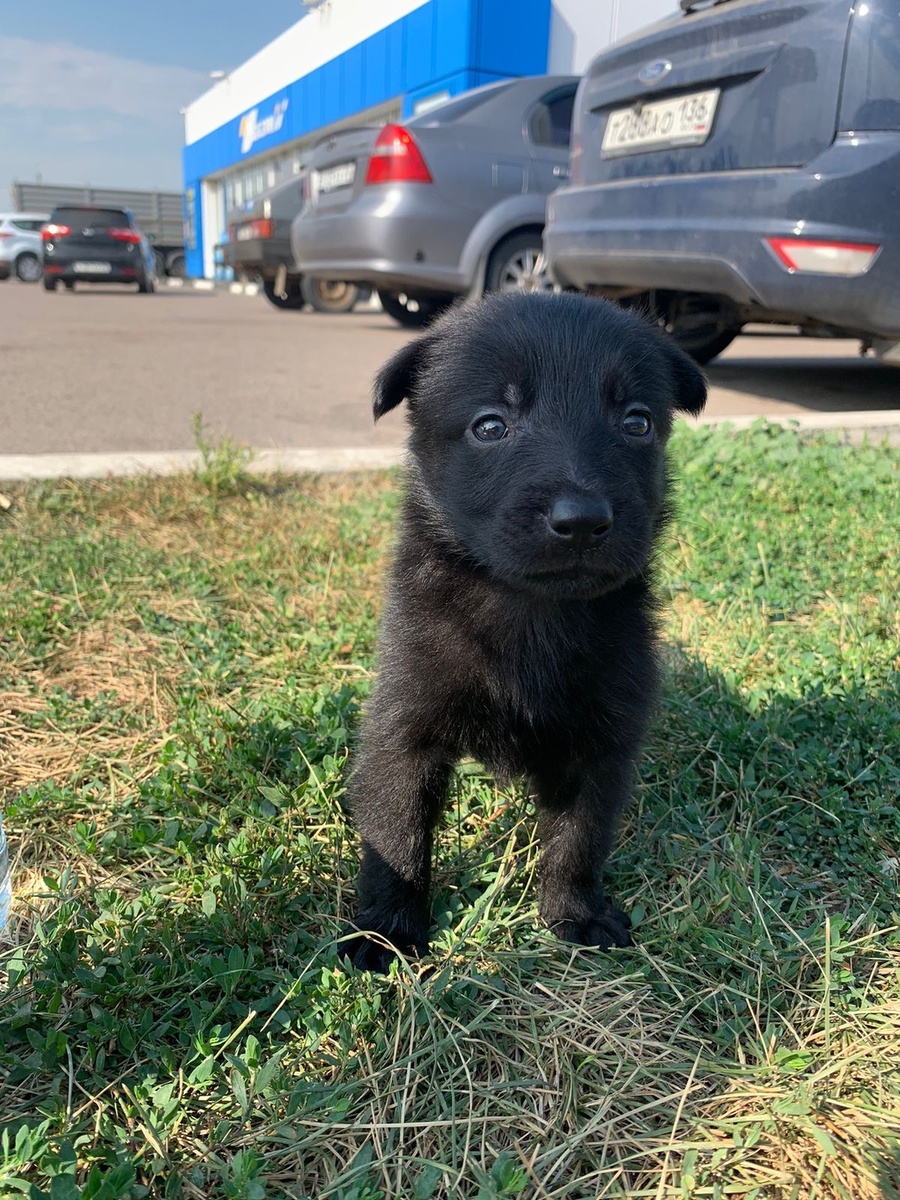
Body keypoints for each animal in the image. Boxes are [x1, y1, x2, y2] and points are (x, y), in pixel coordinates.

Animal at [348, 292, 710, 974]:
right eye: (491, 426)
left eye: (637, 422)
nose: (582, 520)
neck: (534, 614)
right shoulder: (404, 727)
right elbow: (396, 833)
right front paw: (385, 933)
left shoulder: (604, 741)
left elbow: (580, 837)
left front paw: (574, 913)